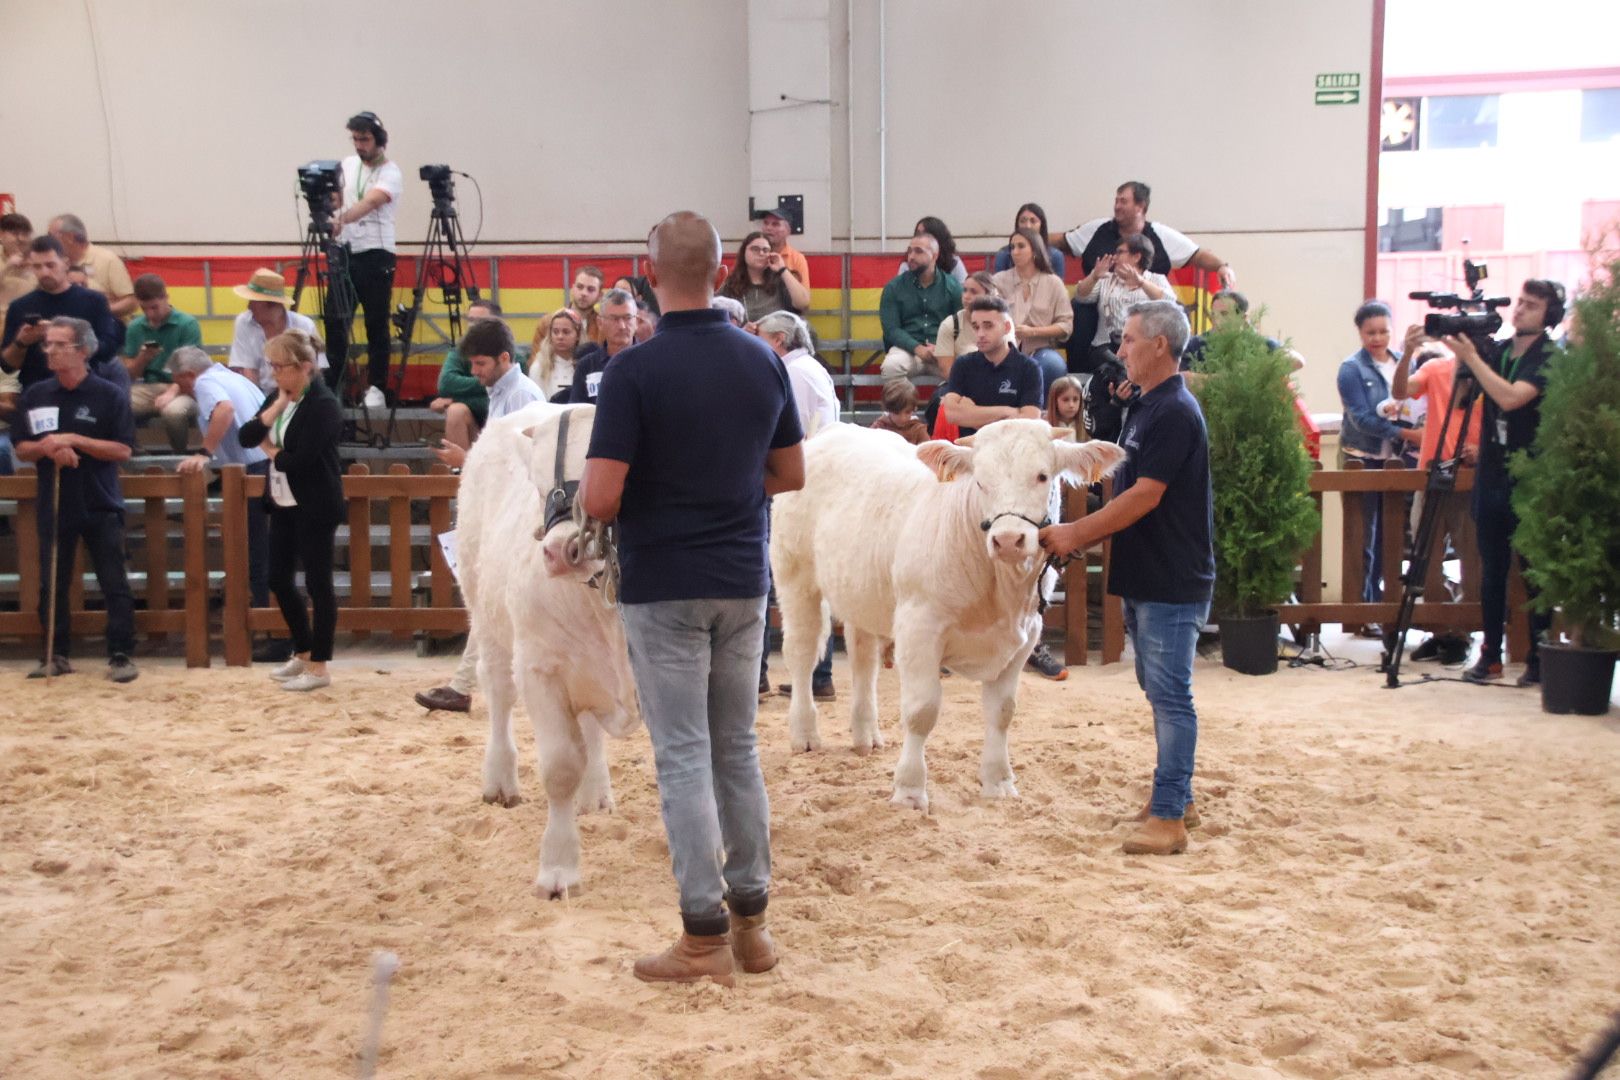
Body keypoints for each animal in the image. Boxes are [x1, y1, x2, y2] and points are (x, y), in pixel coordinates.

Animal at [456, 401, 638, 900]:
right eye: (538, 485)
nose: (560, 551)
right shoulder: (541, 668)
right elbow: (560, 767)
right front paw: (558, 870)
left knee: (590, 728)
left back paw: (596, 794)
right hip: (486, 616)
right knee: (499, 697)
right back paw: (500, 781)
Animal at [764, 420, 1121, 809]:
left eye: (1042, 476)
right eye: (980, 481)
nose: (1008, 540)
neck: (1000, 593)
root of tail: (836, 427)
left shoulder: (1024, 636)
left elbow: (1002, 712)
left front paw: (999, 781)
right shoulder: (919, 628)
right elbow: (921, 712)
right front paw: (909, 789)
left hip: (862, 592)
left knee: (863, 660)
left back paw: (866, 734)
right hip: (796, 577)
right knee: (801, 653)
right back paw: (805, 734)